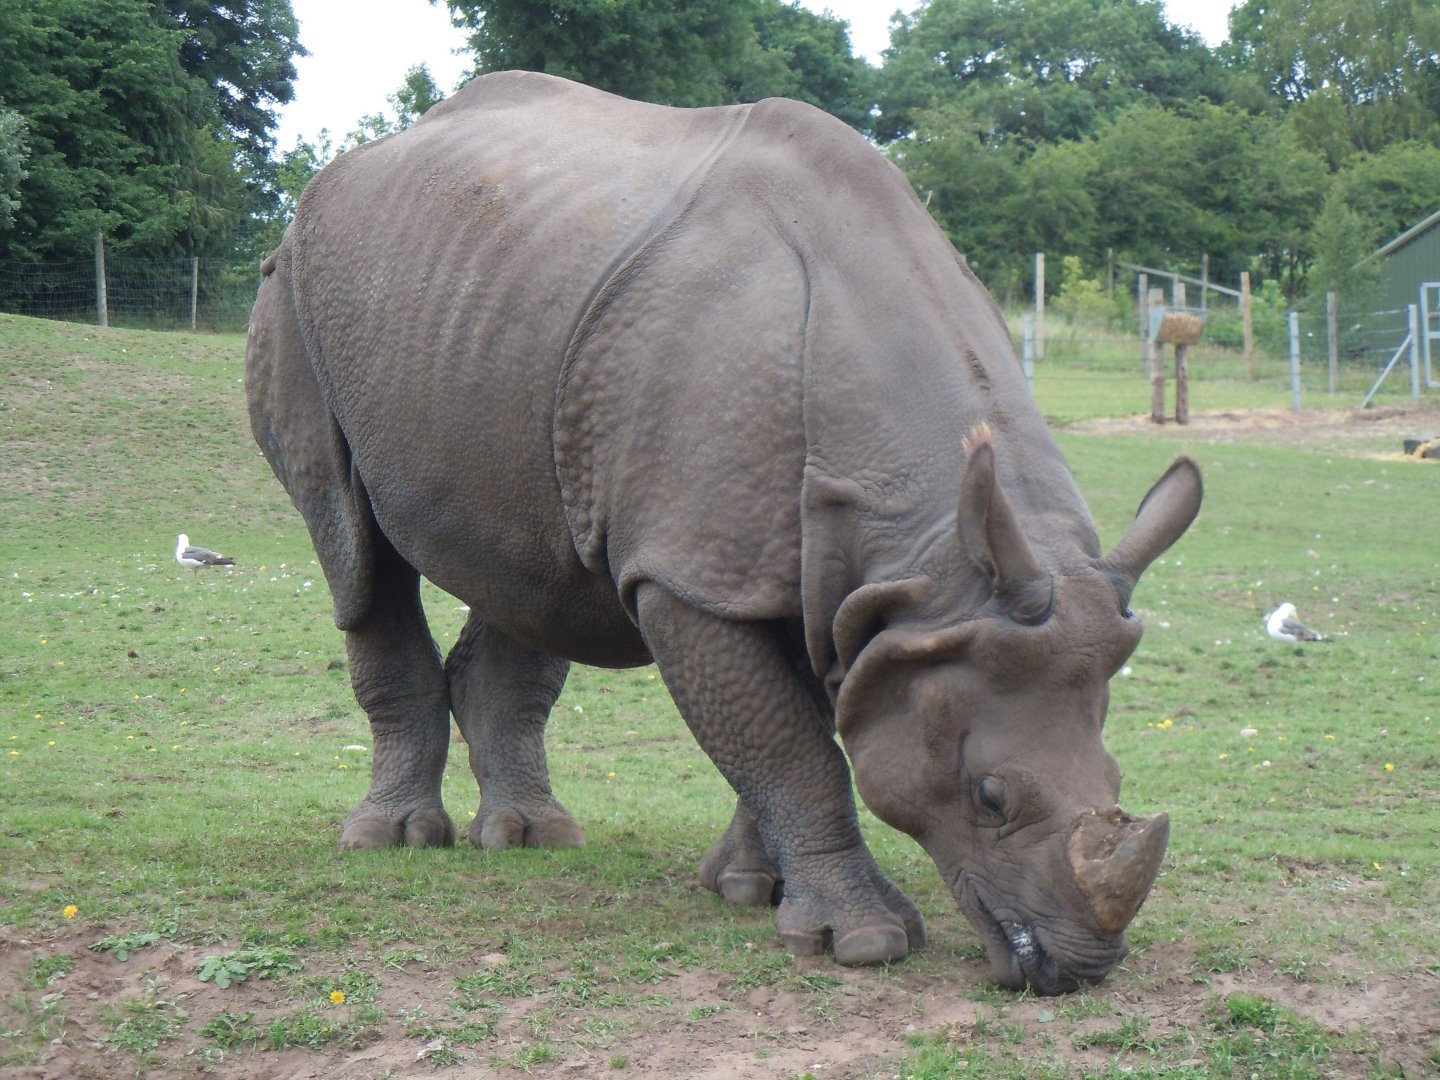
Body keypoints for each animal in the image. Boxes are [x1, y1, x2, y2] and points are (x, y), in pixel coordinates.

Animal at [245, 71, 1202, 994]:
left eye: (1120, 785)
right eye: (991, 797)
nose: (1081, 970)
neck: (935, 556)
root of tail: (351, 168)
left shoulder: (837, 581)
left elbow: (782, 723)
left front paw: (748, 887)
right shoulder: (695, 572)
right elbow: (788, 742)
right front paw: (863, 942)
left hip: (482, 313)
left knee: (534, 570)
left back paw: (531, 838)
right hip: (295, 288)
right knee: (356, 553)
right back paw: (393, 841)